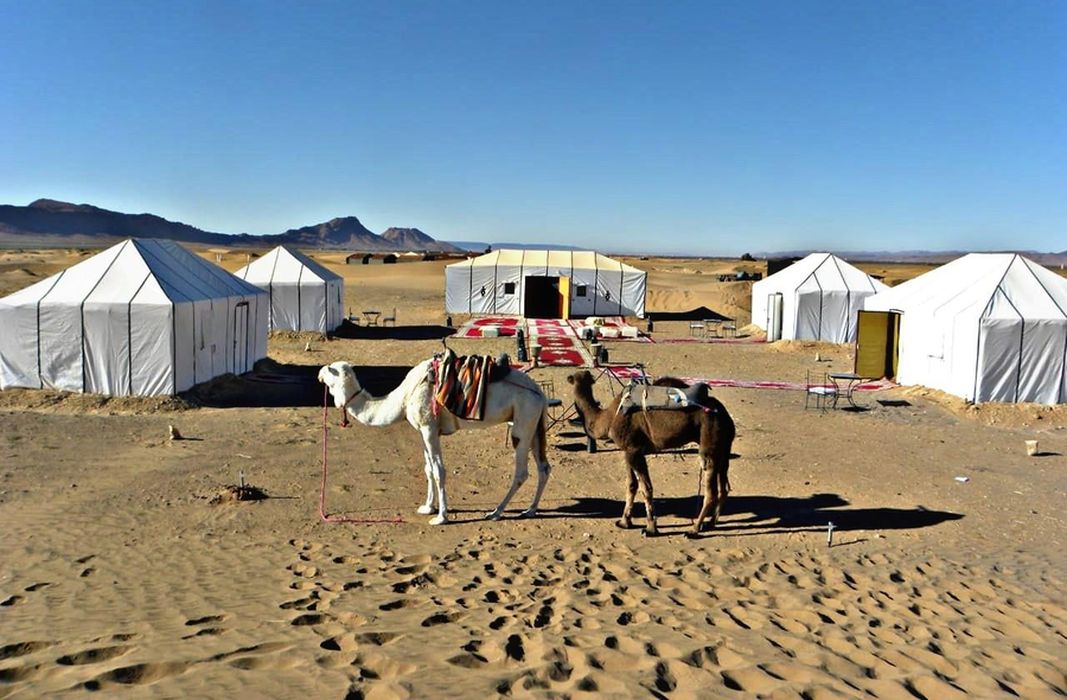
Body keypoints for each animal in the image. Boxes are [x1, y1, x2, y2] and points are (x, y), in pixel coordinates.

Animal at [313, 360, 550, 525]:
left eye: (330, 369)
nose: (319, 373)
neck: (403, 398)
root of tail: (540, 392)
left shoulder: (429, 427)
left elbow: (439, 470)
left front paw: (441, 517)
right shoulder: (423, 430)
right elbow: (428, 468)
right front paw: (427, 507)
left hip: (523, 422)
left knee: (522, 472)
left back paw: (496, 512)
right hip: (535, 425)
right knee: (544, 467)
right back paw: (530, 510)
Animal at [567, 369, 734, 537]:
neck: (608, 419)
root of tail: (725, 413)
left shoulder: (634, 450)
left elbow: (646, 488)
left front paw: (650, 528)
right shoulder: (628, 451)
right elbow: (631, 485)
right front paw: (624, 522)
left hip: (709, 437)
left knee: (710, 486)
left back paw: (694, 530)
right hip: (724, 446)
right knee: (724, 486)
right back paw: (710, 524)